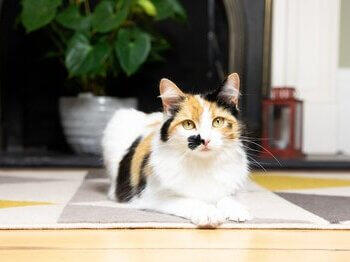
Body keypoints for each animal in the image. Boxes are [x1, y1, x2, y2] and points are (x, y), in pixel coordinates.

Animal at [102, 72, 252, 226]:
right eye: (188, 124)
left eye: (218, 122)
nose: (205, 140)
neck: (203, 164)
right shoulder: (151, 197)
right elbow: (190, 201)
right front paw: (209, 213)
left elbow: (225, 197)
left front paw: (236, 209)